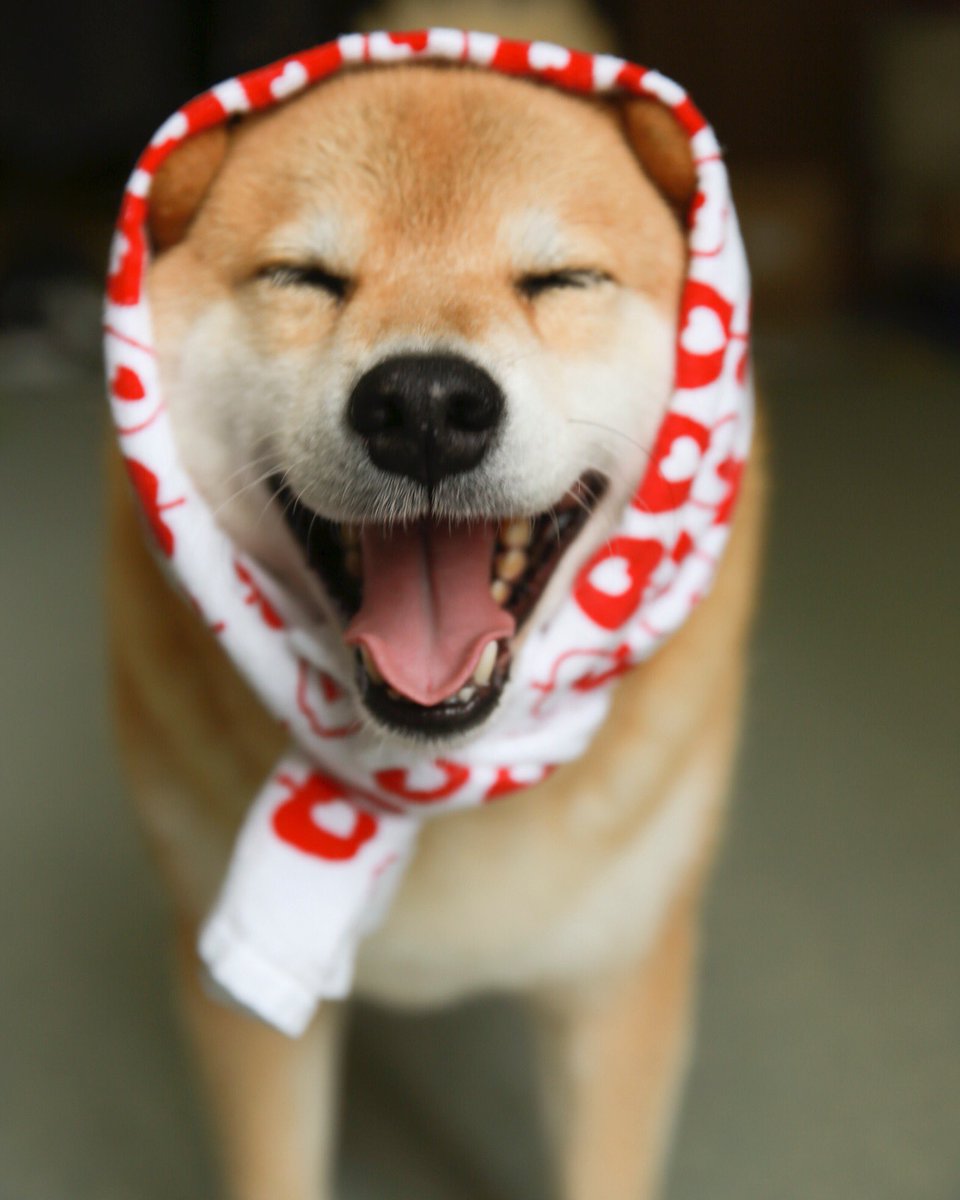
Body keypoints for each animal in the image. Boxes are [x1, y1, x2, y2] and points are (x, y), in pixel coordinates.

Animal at [105, 28, 763, 1200]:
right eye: (305, 277)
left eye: (561, 279)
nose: (422, 404)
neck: (431, 781)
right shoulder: (239, 1010)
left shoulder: (618, 990)